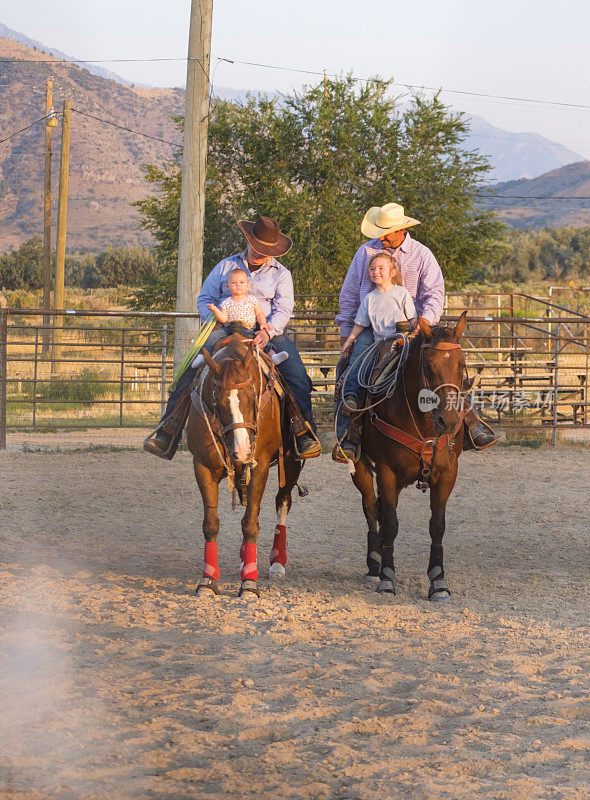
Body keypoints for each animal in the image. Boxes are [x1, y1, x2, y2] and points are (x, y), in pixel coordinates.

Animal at [186, 332, 306, 600]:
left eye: (253, 397)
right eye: (218, 401)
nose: (242, 450)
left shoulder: (259, 466)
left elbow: (250, 524)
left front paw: (249, 583)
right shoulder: (202, 466)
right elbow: (211, 523)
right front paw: (207, 580)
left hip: (291, 464)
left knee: (283, 503)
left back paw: (277, 563)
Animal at [354, 312, 470, 600]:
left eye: (462, 365)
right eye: (428, 366)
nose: (449, 421)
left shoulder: (448, 472)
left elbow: (437, 525)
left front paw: (438, 580)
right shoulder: (386, 470)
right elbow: (391, 523)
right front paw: (386, 578)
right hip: (359, 465)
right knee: (371, 508)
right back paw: (374, 566)